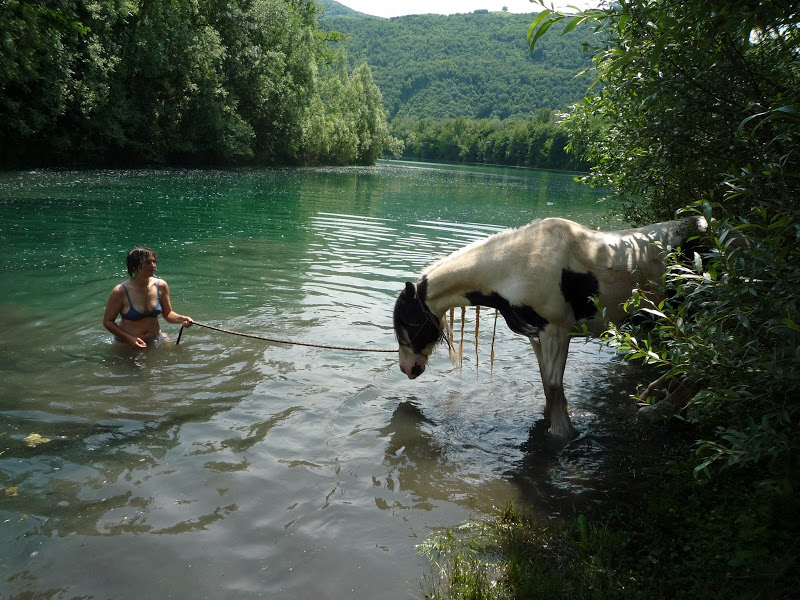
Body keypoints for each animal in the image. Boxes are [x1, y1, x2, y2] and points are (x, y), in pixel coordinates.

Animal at [394, 217, 708, 440]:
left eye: (411, 321)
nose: (408, 369)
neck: (516, 265)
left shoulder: (556, 331)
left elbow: (555, 385)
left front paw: (563, 433)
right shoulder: (537, 334)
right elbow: (546, 381)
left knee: (698, 367)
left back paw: (656, 411)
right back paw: (650, 396)